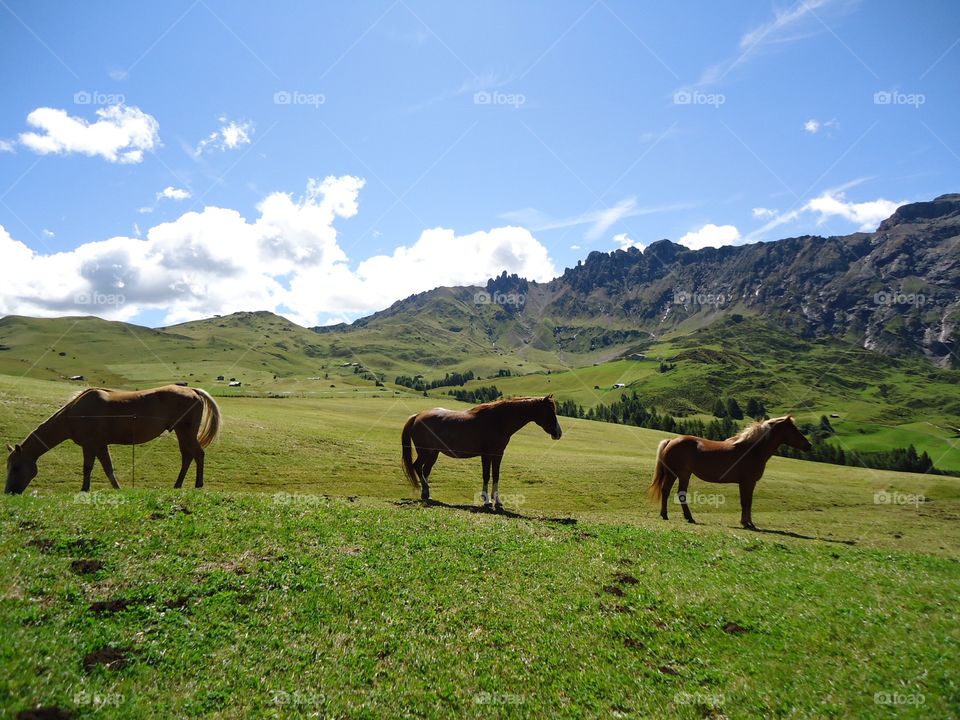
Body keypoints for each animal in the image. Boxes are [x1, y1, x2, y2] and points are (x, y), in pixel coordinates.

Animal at [6, 382, 219, 496]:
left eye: (16, 468)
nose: (9, 492)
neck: (74, 414)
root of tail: (194, 390)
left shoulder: (92, 446)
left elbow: (91, 468)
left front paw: (85, 490)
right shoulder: (99, 446)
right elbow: (106, 468)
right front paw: (116, 488)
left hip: (186, 432)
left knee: (198, 454)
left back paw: (198, 485)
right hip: (181, 432)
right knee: (187, 456)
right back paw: (177, 485)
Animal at [400, 396, 564, 510]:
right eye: (550, 412)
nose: (558, 433)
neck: (498, 420)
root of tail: (417, 416)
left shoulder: (498, 454)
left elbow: (496, 476)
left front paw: (497, 501)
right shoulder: (486, 455)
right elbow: (486, 475)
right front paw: (486, 500)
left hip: (434, 454)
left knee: (425, 470)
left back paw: (426, 493)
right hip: (425, 453)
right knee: (417, 467)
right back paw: (425, 491)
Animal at [652, 416, 808, 528]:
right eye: (794, 429)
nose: (809, 445)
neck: (752, 450)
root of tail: (671, 441)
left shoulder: (747, 483)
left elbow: (747, 501)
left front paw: (747, 522)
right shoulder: (747, 482)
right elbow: (746, 502)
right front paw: (747, 523)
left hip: (684, 474)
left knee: (680, 493)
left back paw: (688, 517)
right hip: (674, 474)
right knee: (666, 491)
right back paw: (666, 515)